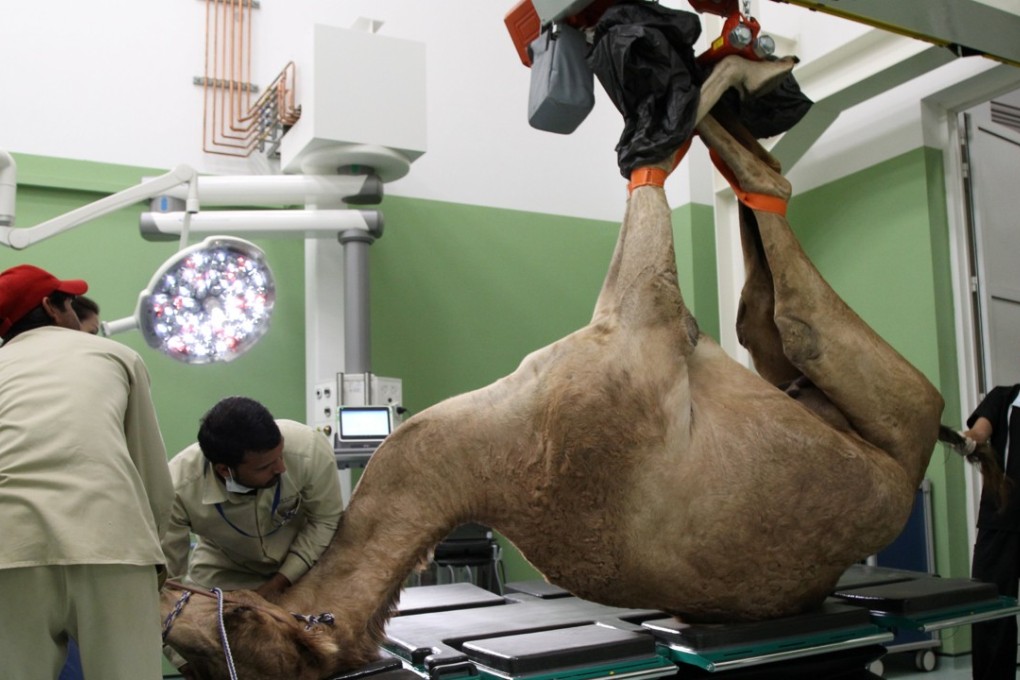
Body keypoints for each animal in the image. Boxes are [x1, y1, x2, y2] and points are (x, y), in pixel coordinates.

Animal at [159, 55, 999, 680]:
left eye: (203, 620)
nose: (169, 596)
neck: (485, 461)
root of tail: (919, 458)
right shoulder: (642, 321)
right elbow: (651, 178)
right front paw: (678, 101)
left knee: (761, 295)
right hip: (890, 422)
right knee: (784, 280)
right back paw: (745, 90)